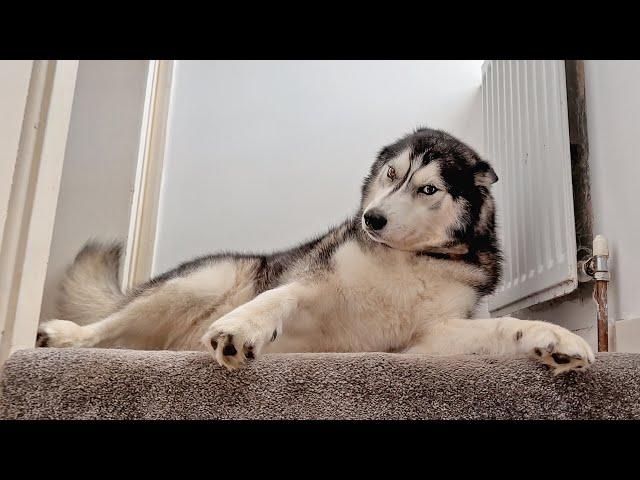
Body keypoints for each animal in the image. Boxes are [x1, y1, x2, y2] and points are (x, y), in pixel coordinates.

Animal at [36, 128, 596, 376]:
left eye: (429, 189)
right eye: (391, 174)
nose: (373, 219)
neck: (408, 261)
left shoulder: (424, 340)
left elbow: (505, 327)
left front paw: (555, 339)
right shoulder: (313, 281)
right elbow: (278, 298)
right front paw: (241, 329)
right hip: (203, 281)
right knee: (111, 326)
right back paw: (65, 337)